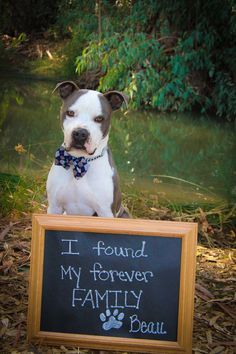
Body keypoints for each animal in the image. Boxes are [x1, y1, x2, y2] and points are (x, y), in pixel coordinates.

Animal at [46, 81, 130, 217]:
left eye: (99, 119)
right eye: (70, 113)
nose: (80, 133)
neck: (80, 161)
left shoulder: (105, 212)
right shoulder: (54, 207)